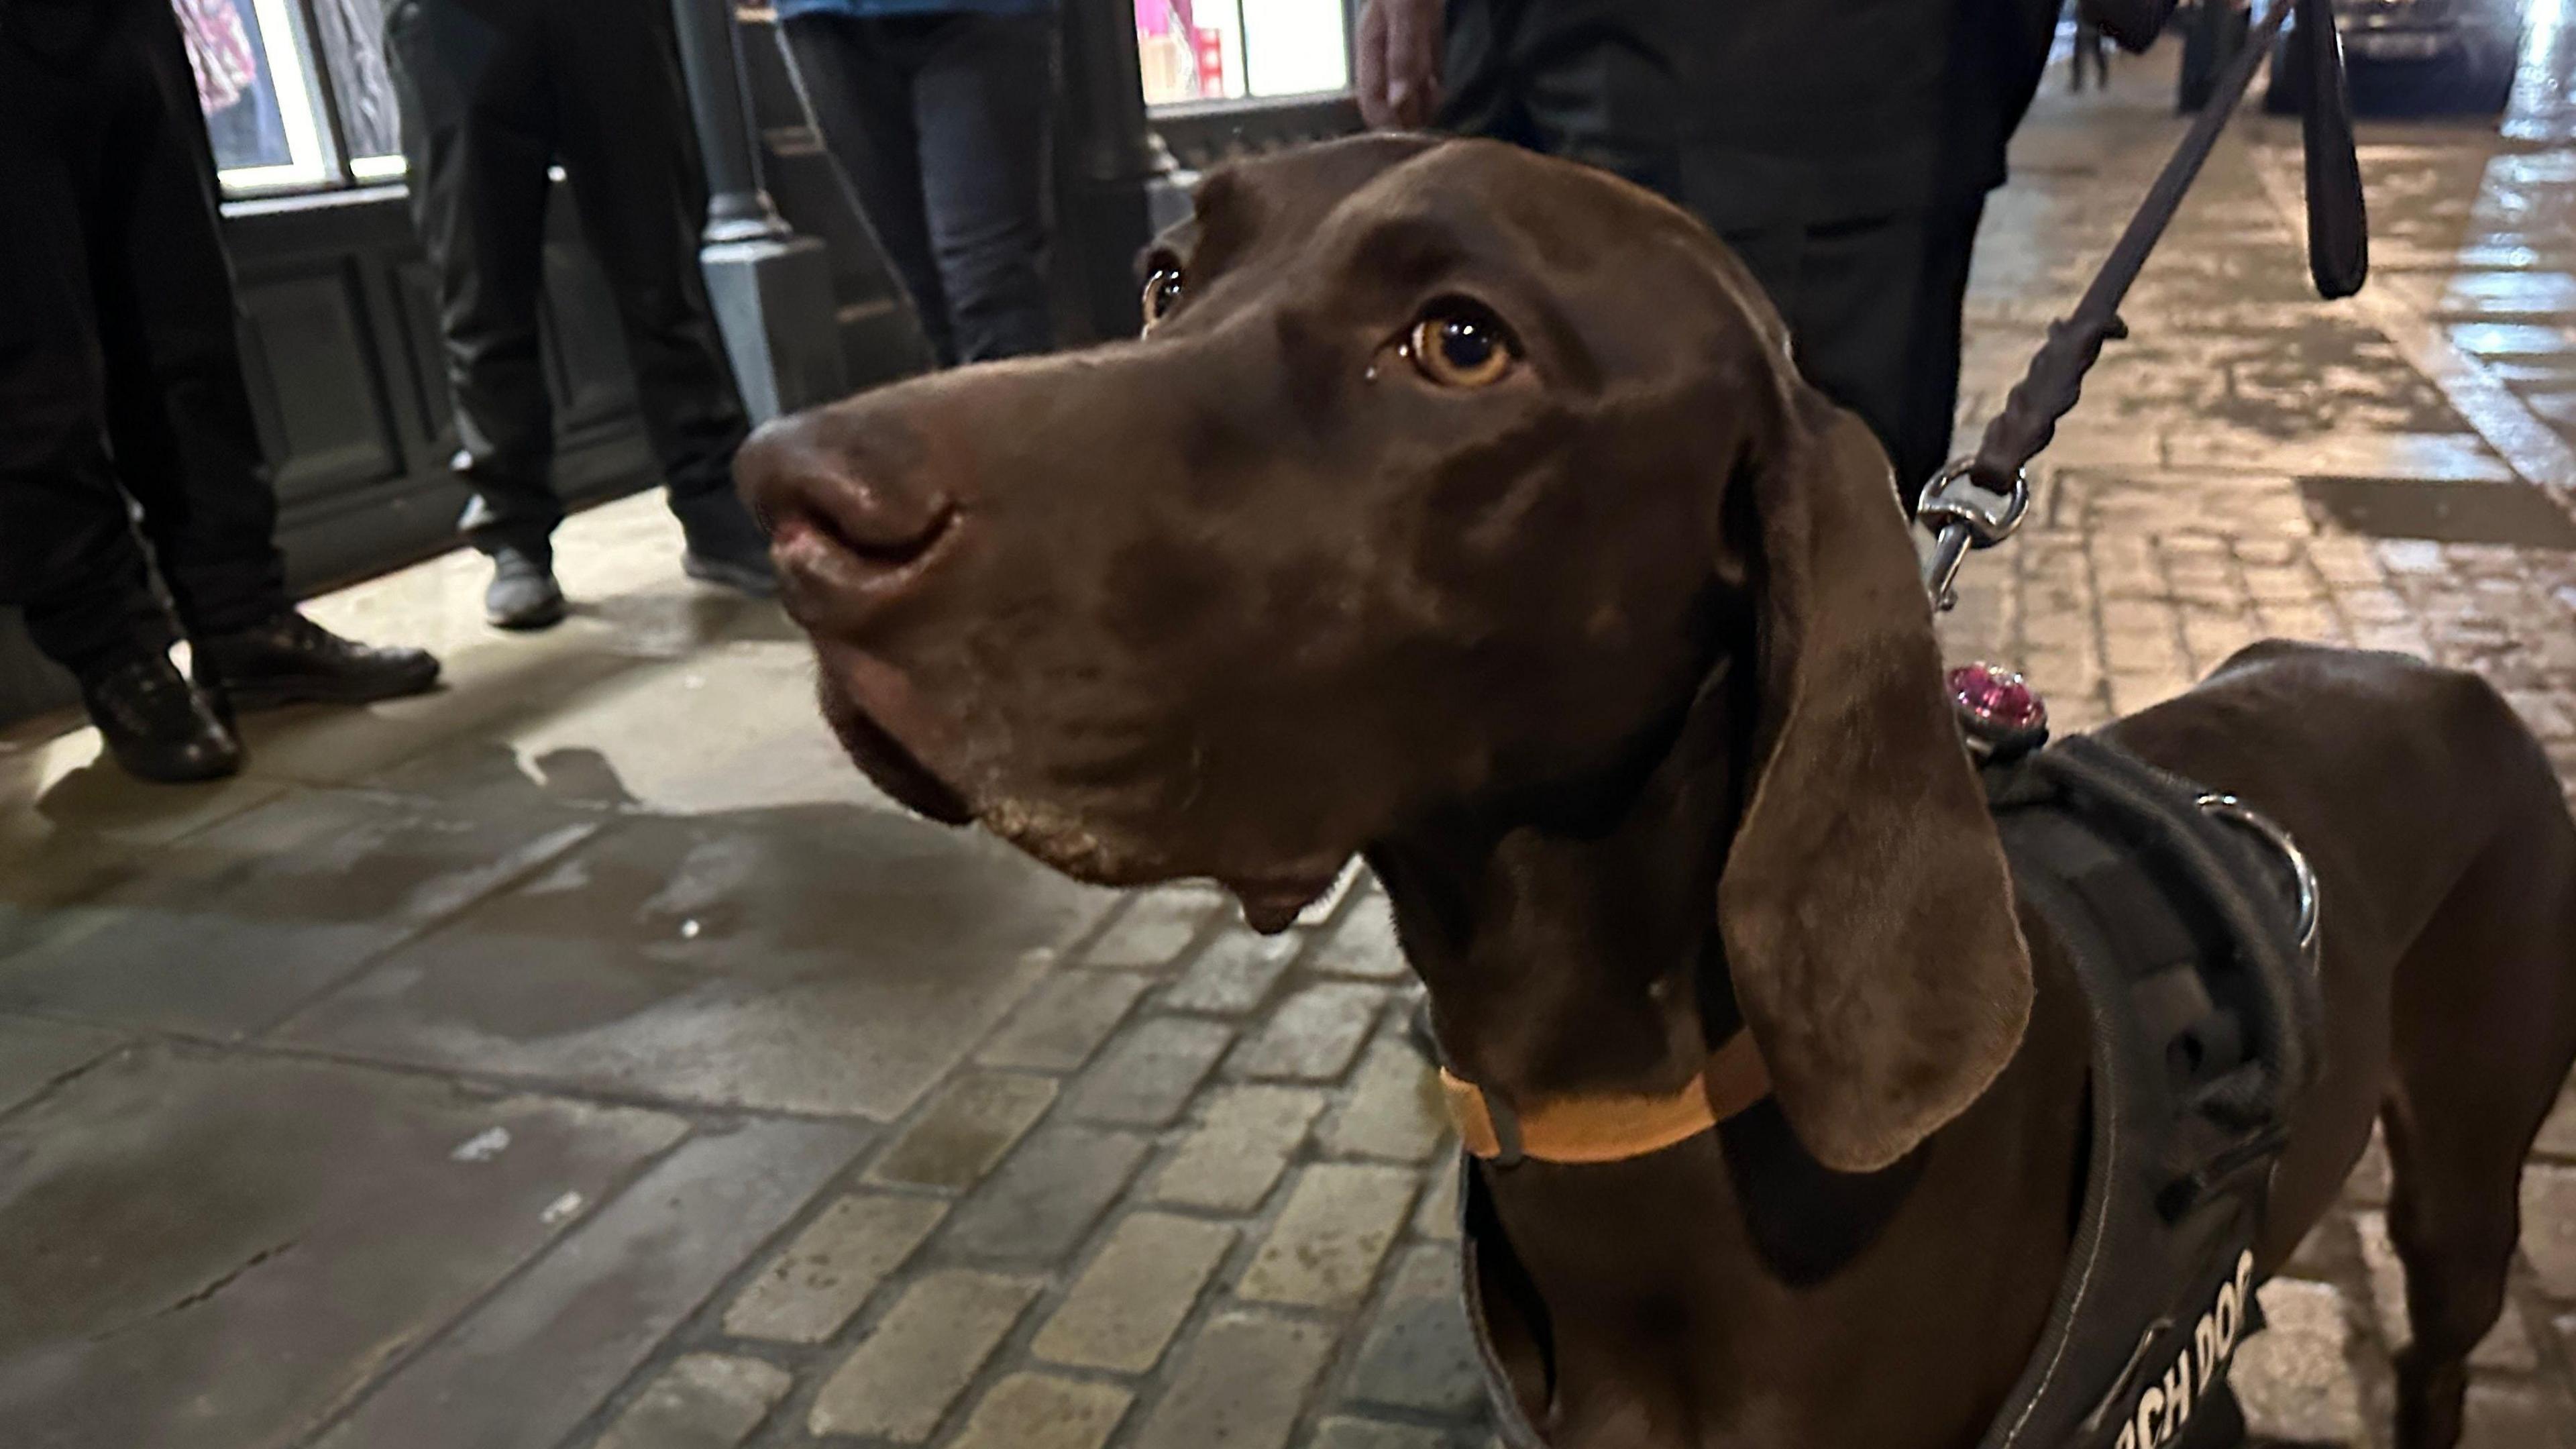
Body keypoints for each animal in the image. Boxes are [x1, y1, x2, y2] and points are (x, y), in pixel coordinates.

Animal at [737, 135, 2576, 1444]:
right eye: (1163, 277)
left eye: (1459, 341)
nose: (794, 498)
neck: (1631, 1125)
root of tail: (2443, 675)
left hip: (2465, 1199)